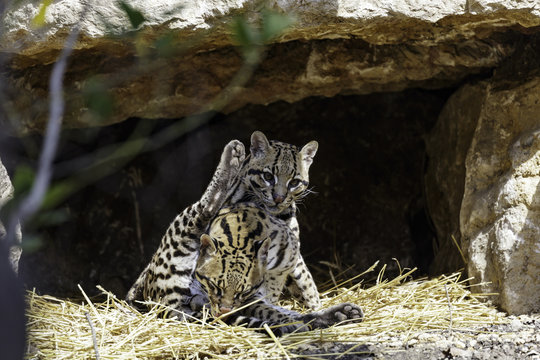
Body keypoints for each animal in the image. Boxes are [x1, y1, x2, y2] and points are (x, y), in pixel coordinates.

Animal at [125, 132, 322, 318]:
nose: (279, 198)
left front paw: (314, 302)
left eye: (294, 182)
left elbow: (302, 274)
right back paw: (233, 153)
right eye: (268, 176)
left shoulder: (291, 243)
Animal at [194, 202, 362, 334]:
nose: (224, 312)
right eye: (214, 285)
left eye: (244, 292)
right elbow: (267, 309)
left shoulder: (287, 259)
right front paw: (290, 324)